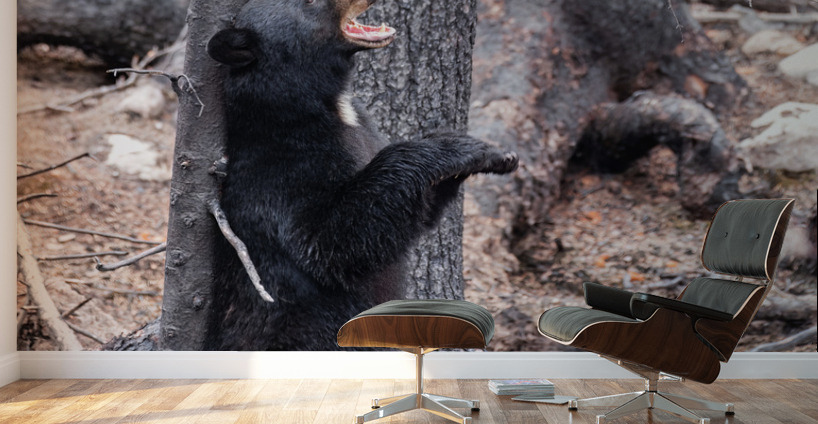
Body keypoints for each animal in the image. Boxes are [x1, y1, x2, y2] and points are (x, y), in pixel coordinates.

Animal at [203, 0, 519, 350]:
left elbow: (417, 209)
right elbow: (330, 240)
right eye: (310, 3)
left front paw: (494, 154)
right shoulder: (280, 172)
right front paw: (456, 147)